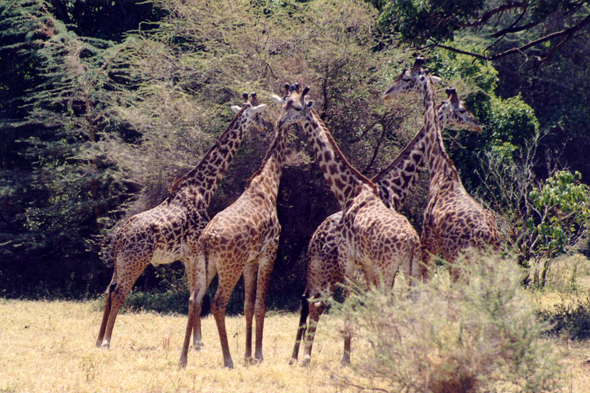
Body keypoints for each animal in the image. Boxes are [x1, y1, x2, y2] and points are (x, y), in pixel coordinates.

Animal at [95, 93, 268, 348]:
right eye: (258, 115)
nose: (266, 127)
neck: (203, 189)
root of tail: (119, 236)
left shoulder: (187, 256)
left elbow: (192, 294)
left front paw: (197, 342)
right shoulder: (196, 250)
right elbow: (198, 294)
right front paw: (199, 343)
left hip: (120, 262)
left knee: (108, 290)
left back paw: (98, 340)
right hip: (136, 260)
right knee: (118, 293)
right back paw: (107, 341)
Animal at [179, 89, 292, 368]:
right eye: (259, 114)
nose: (268, 126)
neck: (268, 184)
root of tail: (207, 239)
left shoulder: (250, 260)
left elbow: (248, 305)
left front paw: (248, 354)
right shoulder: (269, 252)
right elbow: (261, 304)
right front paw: (258, 355)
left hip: (204, 265)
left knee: (194, 299)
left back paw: (183, 359)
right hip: (229, 267)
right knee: (218, 302)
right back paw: (227, 359)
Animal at [272, 82, 420, 364]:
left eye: (297, 107)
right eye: (284, 102)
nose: (279, 122)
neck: (350, 191)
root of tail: (411, 241)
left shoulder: (349, 259)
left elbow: (350, 303)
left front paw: (347, 357)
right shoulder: (366, 264)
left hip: (386, 267)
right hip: (411, 268)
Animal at [290, 87, 484, 362]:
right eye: (462, 110)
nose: (477, 125)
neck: (392, 188)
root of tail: (315, 237)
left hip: (318, 269)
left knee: (307, 301)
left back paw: (296, 356)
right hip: (328, 269)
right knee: (316, 304)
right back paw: (305, 355)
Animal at [384, 57, 500, 278]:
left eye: (406, 78)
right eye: (462, 108)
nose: (387, 92)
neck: (440, 168)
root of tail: (486, 236)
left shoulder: (428, 238)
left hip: (457, 259)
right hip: (489, 262)